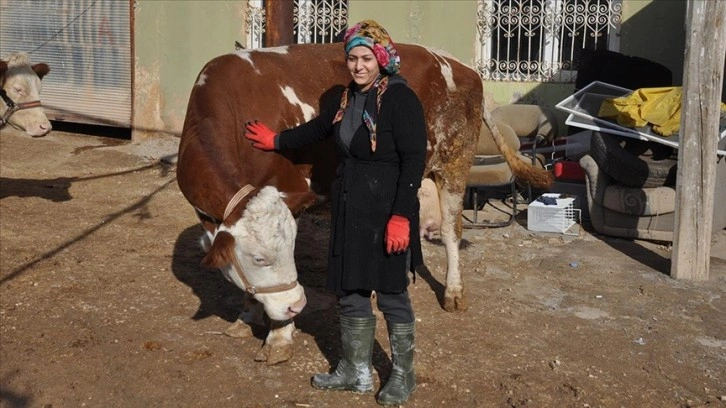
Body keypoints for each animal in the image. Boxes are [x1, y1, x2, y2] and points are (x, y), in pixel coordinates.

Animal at [178, 43, 552, 364]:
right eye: (258, 258)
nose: (297, 304)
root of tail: (459, 64)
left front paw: (280, 337)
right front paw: (247, 314)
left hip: (454, 162)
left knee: (450, 231)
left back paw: (454, 291)